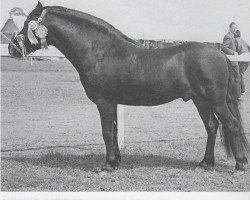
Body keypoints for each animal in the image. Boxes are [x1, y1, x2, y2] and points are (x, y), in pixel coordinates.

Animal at [9, 2, 248, 173]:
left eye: (29, 22)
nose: (12, 48)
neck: (99, 50)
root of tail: (221, 55)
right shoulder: (113, 102)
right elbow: (114, 131)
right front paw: (115, 162)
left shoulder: (104, 102)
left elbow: (106, 132)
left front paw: (106, 166)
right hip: (201, 100)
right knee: (212, 127)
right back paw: (205, 163)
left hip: (216, 101)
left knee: (232, 125)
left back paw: (240, 165)